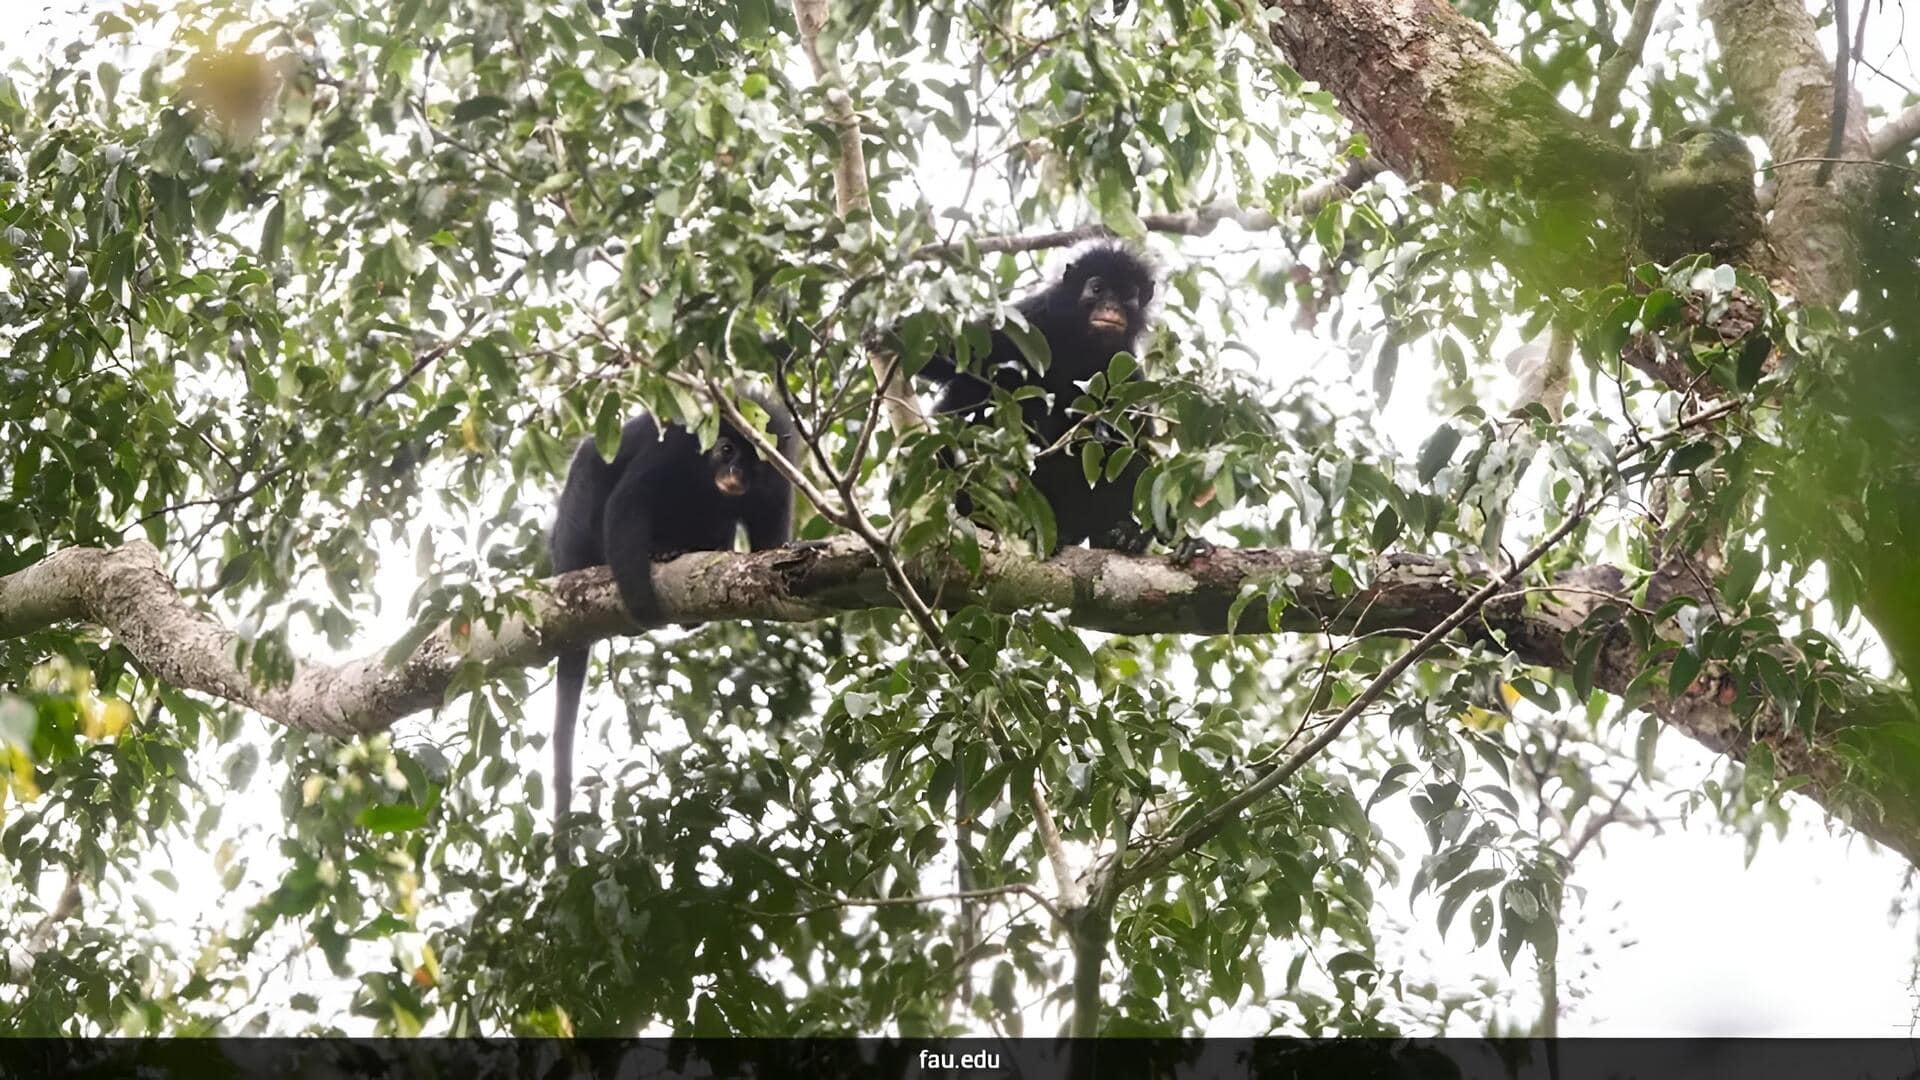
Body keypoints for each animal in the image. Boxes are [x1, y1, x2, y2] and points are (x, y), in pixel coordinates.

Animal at [547, 391, 799, 862]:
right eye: (726, 450)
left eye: (754, 463)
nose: (735, 476)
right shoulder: (673, 450)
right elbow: (626, 504)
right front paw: (643, 606)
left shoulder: (778, 481)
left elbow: (770, 548)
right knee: (592, 463)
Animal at [915, 242, 1162, 553]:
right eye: (1097, 289)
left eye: (1127, 296)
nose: (1111, 307)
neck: (1081, 344)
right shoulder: (1030, 321)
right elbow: (948, 353)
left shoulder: (1126, 369)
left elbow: (1134, 442)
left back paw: (1116, 534)